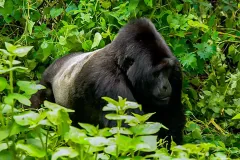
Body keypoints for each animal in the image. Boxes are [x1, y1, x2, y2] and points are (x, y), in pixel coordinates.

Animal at [30, 17, 186, 148]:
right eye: (156, 73)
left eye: (167, 70)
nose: (166, 86)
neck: (120, 63)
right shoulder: (108, 82)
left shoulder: (176, 70)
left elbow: (171, 119)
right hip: (45, 81)